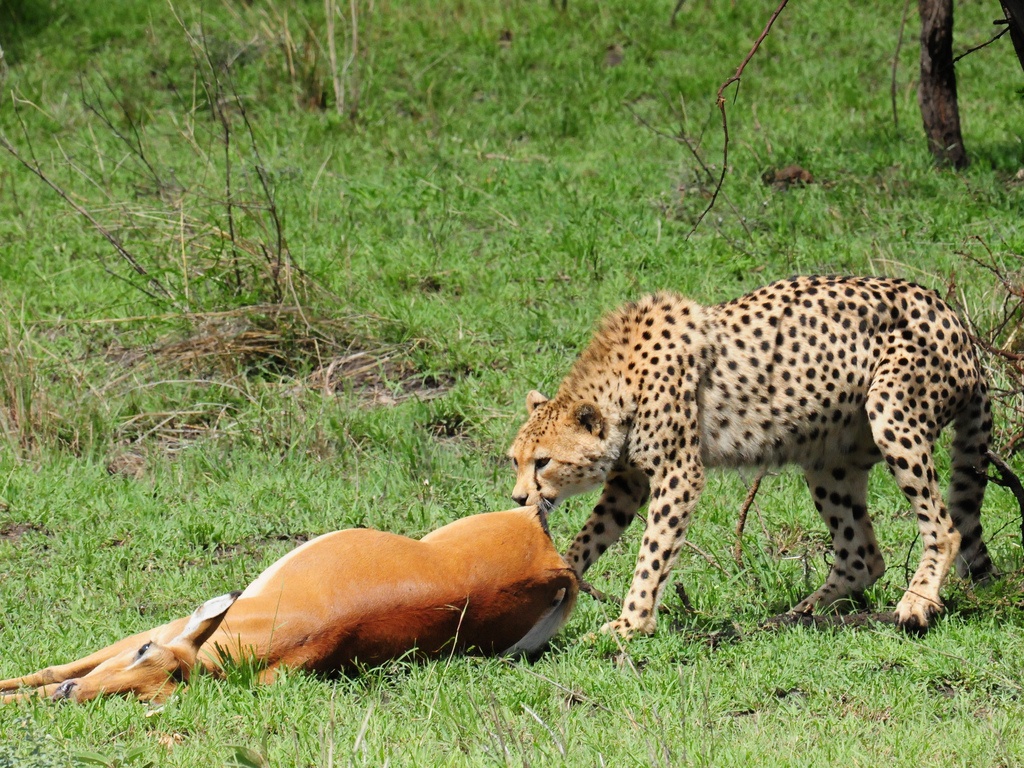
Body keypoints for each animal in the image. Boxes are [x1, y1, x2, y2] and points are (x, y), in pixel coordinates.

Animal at [507, 276, 995, 638]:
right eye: (516, 460)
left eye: (543, 462)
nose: (518, 499)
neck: (622, 379)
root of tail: (958, 323)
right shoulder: (628, 482)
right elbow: (590, 537)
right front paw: (559, 576)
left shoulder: (678, 474)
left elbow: (654, 552)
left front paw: (631, 623)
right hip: (828, 460)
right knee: (863, 555)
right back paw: (802, 614)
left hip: (892, 413)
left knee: (944, 528)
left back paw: (917, 601)